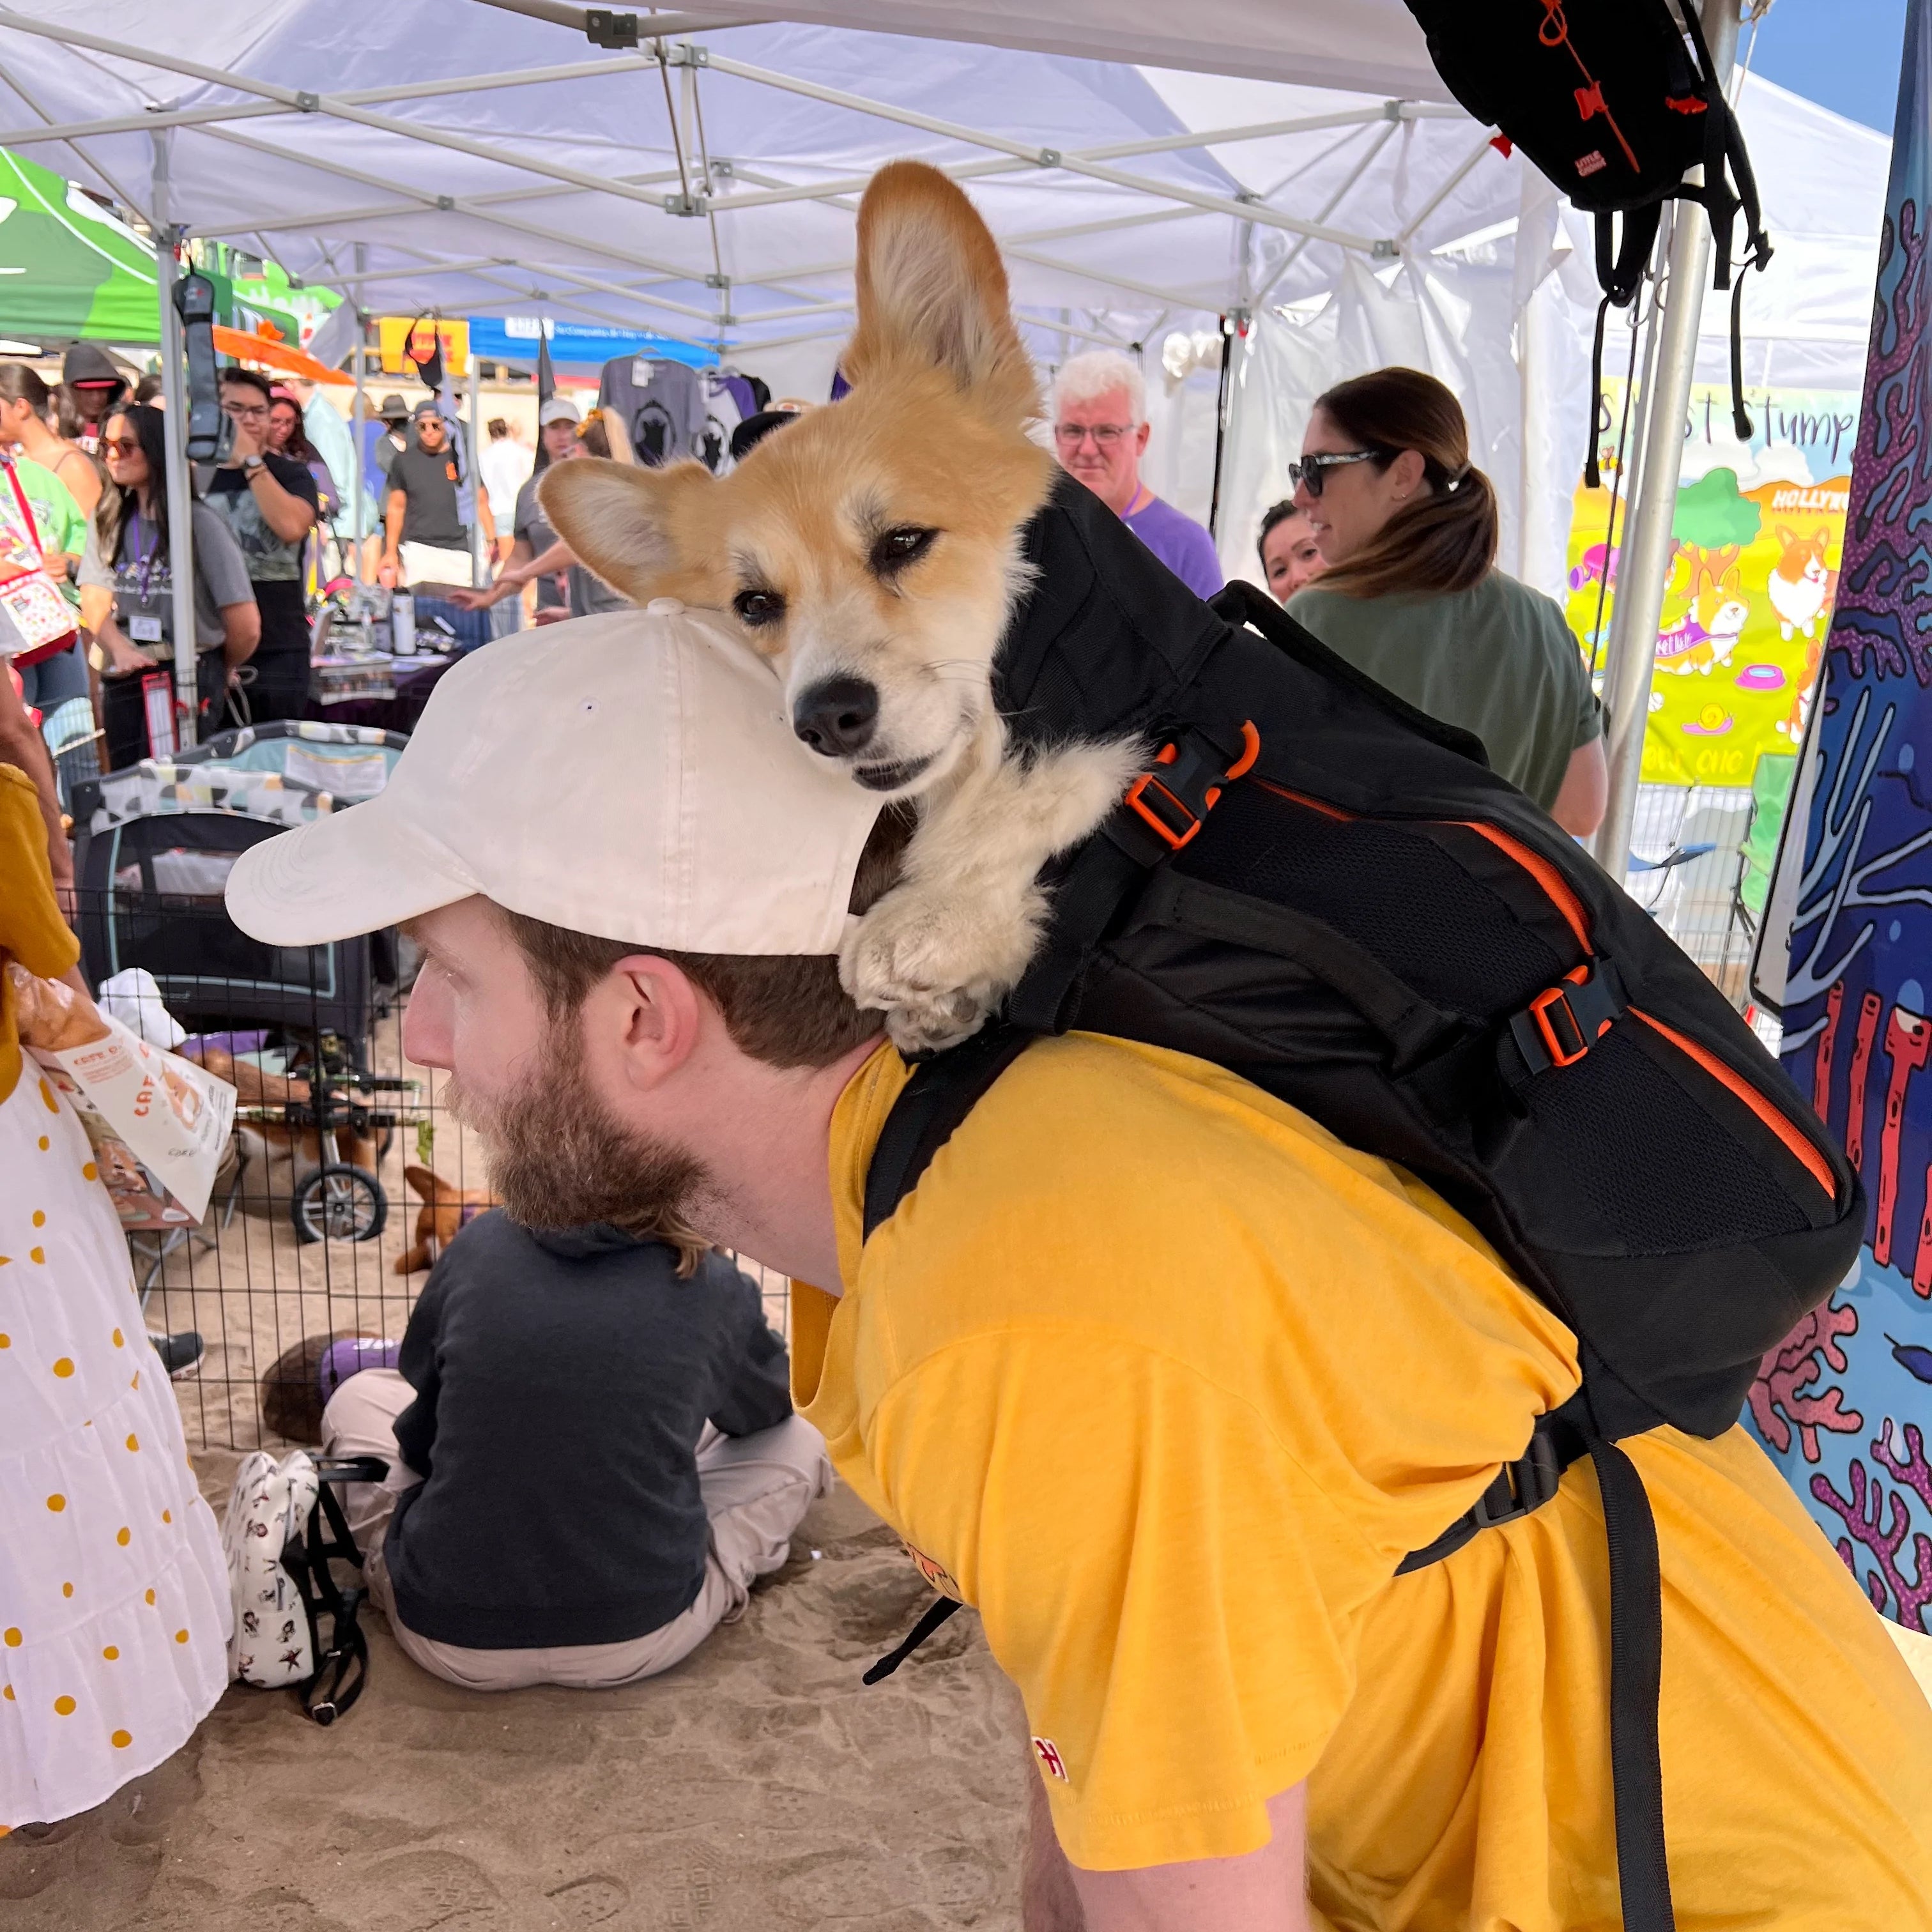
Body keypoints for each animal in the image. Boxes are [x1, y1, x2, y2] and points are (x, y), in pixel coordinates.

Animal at [1769, 525, 1831, 645]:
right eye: (1803, 557)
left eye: (1818, 557)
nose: (1817, 571)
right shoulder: (1779, 612)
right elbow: (1786, 625)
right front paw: (1786, 637)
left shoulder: (1809, 615)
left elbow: (1808, 624)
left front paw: (1809, 633)